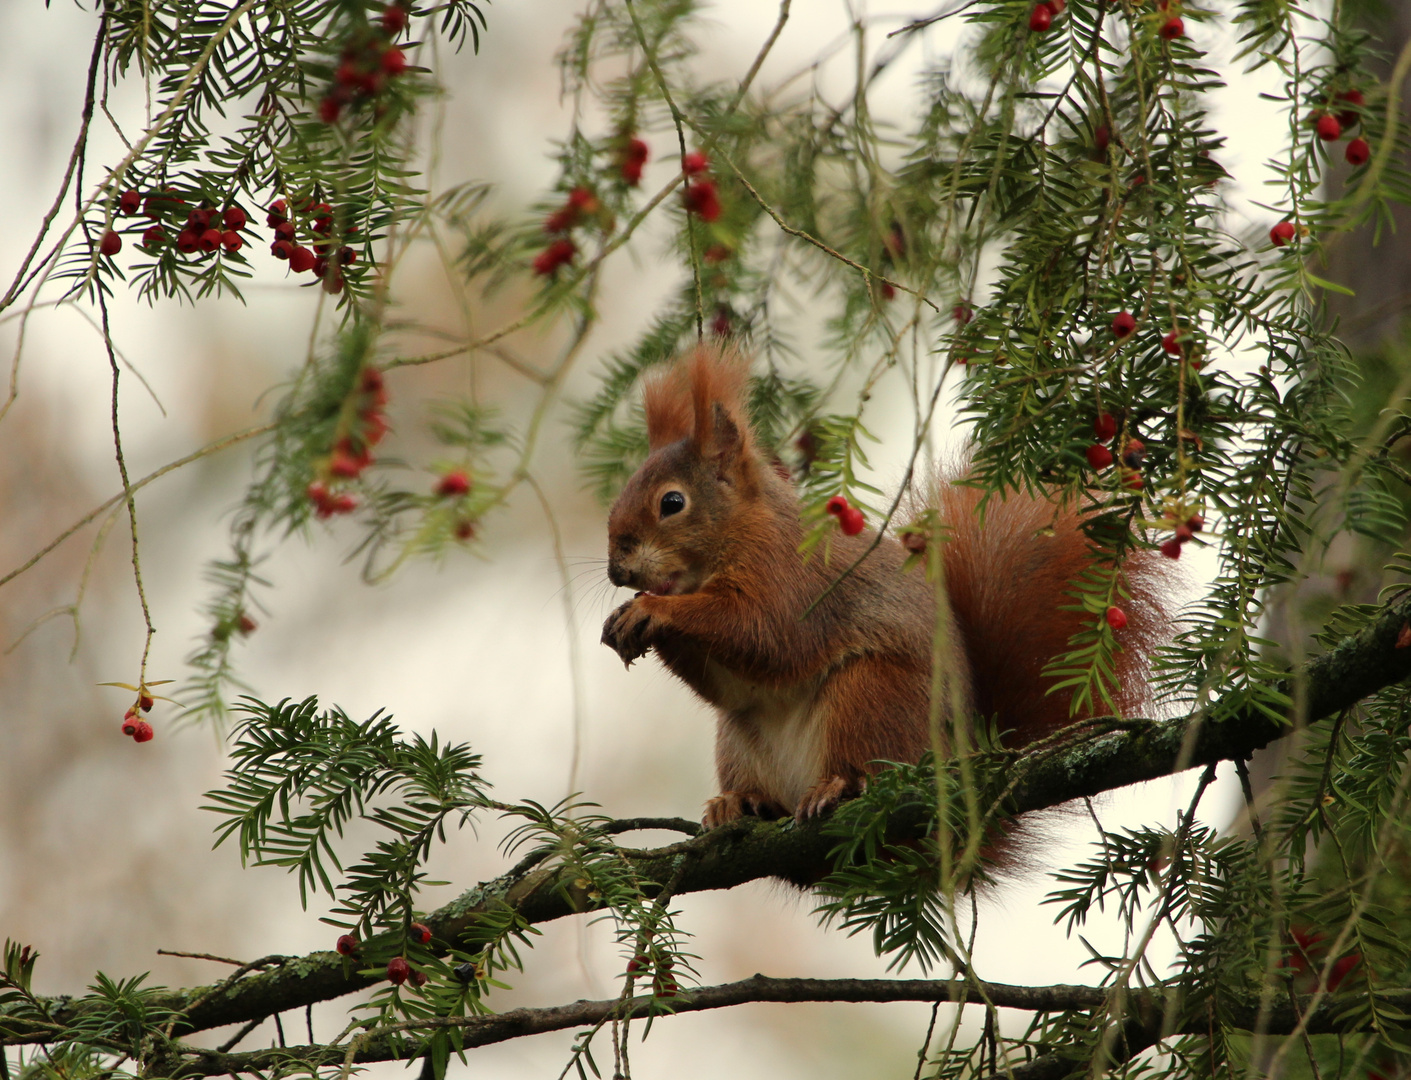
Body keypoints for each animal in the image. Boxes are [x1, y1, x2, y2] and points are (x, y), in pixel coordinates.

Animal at [601, 345, 1162, 824]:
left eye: (672, 503)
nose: (616, 570)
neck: (742, 531)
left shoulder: (792, 577)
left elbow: (764, 632)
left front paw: (654, 611)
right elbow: (734, 679)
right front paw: (626, 618)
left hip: (869, 696)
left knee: (860, 761)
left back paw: (834, 786)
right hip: (737, 736)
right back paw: (739, 801)